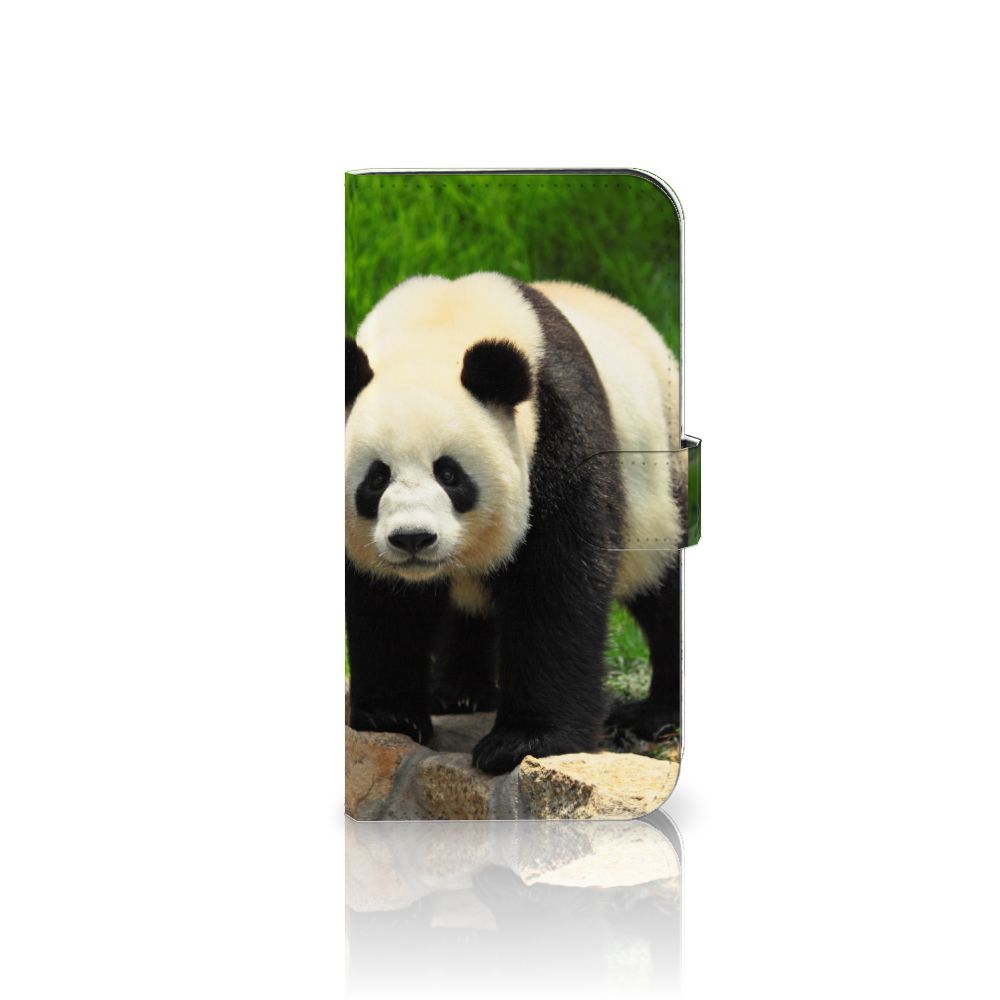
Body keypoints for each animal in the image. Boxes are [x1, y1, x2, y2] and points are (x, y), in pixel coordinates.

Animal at [345, 272, 684, 775]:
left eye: (449, 474)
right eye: (376, 478)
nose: (413, 539)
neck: (436, 330)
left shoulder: (557, 429)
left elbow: (556, 584)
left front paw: (523, 741)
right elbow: (384, 600)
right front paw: (391, 715)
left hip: (658, 481)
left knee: (662, 585)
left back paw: (654, 714)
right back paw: (460, 693)